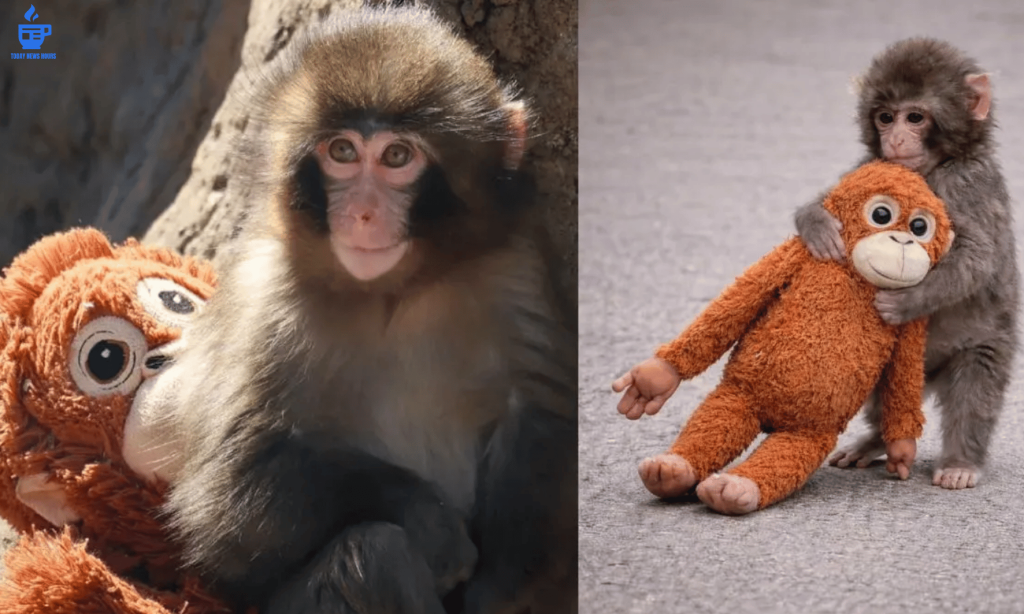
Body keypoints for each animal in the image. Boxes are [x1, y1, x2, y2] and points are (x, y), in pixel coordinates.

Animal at [131, 7, 577, 614]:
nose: (363, 213)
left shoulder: (515, 266)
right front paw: (429, 519)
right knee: (372, 555)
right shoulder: (265, 297)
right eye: (342, 152)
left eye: (397, 157)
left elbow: (542, 416)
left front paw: (500, 590)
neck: (394, 292)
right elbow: (227, 496)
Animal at [794, 38, 1019, 491]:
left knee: (975, 386)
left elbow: (977, 256)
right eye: (885, 117)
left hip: (982, 347)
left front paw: (905, 303)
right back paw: (878, 440)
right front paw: (816, 224)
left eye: (915, 117)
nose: (895, 138)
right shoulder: (873, 167)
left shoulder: (967, 182)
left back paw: (961, 461)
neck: (932, 169)